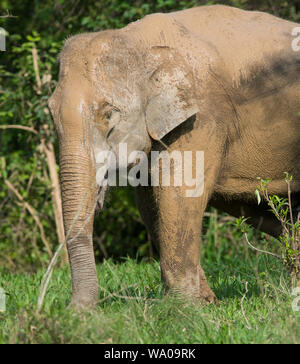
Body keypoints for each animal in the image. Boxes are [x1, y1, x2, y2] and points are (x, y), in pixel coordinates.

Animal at [48, 4, 300, 308]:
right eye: (50, 112)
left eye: (109, 115)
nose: (74, 311)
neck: (139, 40)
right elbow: (149, 200)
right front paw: (202, 302)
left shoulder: (202, 116)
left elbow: (177, 193)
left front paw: (186, 307)